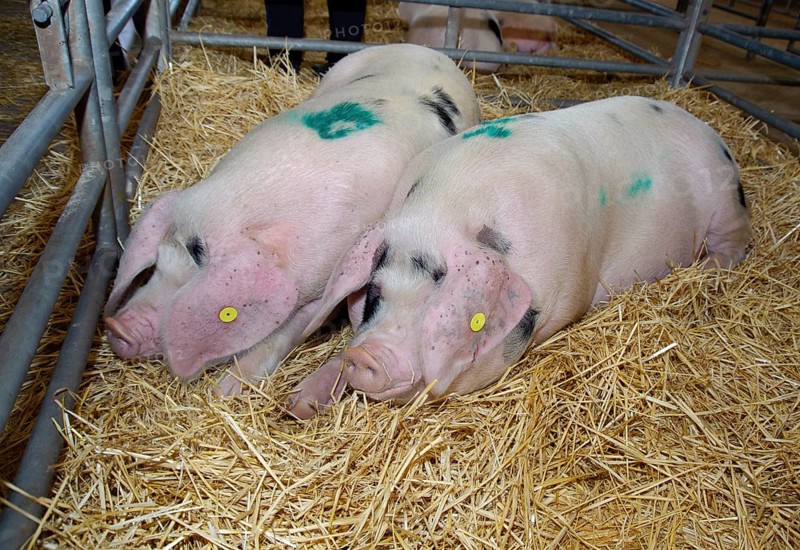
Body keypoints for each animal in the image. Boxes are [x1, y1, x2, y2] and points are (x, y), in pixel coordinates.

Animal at [103, 44, 482, 395]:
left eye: (192, 279)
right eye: (157, 263)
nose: (118, 328)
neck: (250, 199)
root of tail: (430, 52)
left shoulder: (326, 273)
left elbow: (286, 331)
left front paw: (225, 389)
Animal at [288, 95, 751, 419]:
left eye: (436, 299)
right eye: (374, 295)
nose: (365, 356)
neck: (445, 209)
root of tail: (712, 134)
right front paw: (299, 405)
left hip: (727, 207)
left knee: (736, 246)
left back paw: (704, 269)